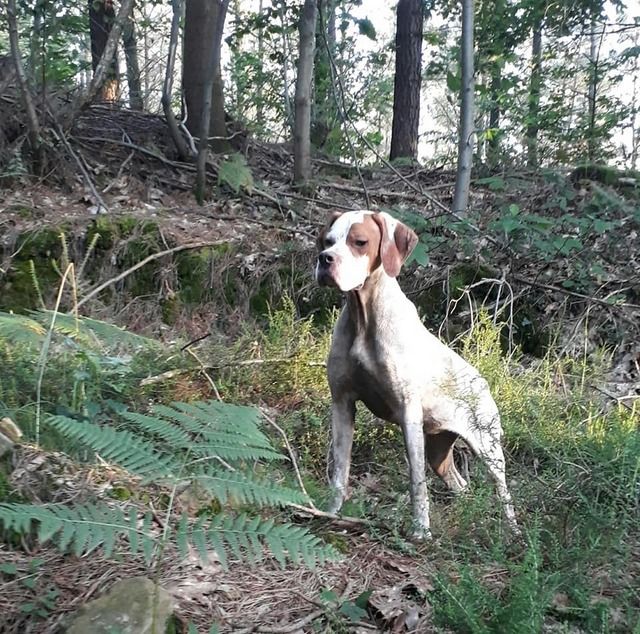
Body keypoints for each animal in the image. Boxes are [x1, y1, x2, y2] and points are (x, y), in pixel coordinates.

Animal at [316, 210, 520, 536]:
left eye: (359, 242)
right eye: (327, 241)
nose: (325, 259)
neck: (364, 318)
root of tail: (483, 384)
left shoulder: (408, 414)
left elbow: (417, 482)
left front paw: (421, 531)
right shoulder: (342, 403)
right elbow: (339, 471)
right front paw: (330, 513)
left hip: (488, 448)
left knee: (504, 495)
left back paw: (513, 534)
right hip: (439, 451)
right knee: (461, 485)